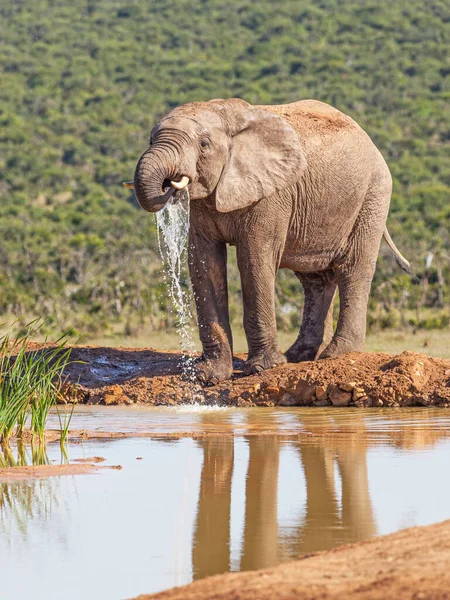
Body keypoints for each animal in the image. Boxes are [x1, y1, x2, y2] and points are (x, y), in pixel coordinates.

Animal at [125, 97, 414, 384]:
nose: (168, 184)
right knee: (315, 279)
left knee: (353, 269)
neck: (224, 113)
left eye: (204, 144)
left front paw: (262, 368)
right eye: (150, 140)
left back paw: (336, 354)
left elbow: (254, 259)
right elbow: (204, 263)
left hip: (373, 195)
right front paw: (208, 376)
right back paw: (299, 356)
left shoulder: (271, 195)